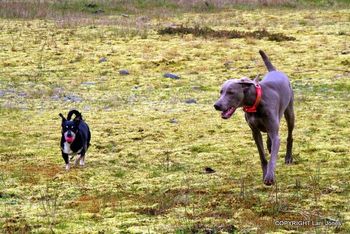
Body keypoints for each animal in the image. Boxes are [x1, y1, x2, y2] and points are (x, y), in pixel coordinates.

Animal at [215, 50, 294, 186]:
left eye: (231, 92)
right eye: (221, 92)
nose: (216, 105)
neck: (255, 103)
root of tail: (274, 71)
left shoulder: (275, 134)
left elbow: (273, 157)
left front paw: (269, 177)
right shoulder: (255, 132)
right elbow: (262, 156)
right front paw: (264, 174)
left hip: (289, 113)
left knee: (289, 135)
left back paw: (288, 157)